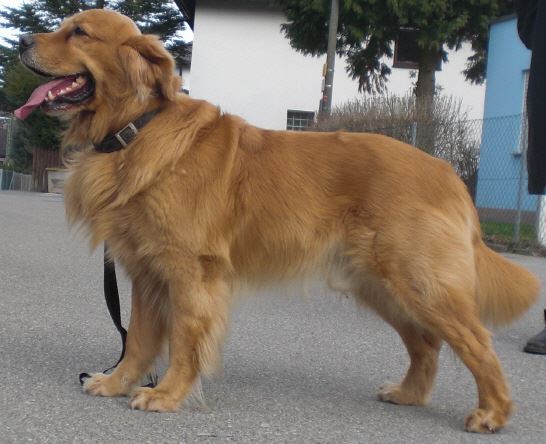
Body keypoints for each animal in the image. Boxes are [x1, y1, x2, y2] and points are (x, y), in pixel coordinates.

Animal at [17, 9, 540, 433]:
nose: (20, 39)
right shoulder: (147, 274)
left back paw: (493, 412)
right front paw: (118, 383)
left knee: (476, 341)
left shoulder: (191, 272)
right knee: (427, 344)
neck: (137, 127)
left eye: (79, 32)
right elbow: (139, 339)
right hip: (382, 287)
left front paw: (167, 394)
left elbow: (184, 339)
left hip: (418, 282)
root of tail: (447, 171)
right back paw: (410, 393)